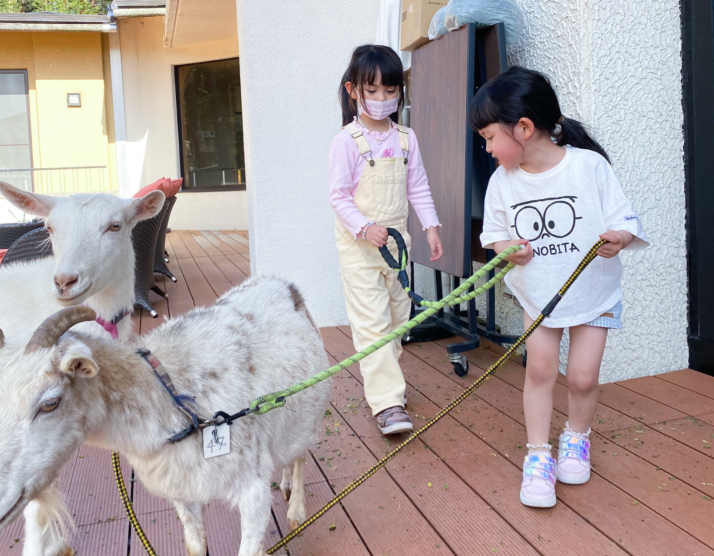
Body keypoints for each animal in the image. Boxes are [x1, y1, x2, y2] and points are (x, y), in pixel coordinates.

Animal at [0, 278, 330, 556]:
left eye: (50, 403)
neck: (174, 400)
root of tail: (284, 284)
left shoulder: (253, 490)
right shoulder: (183, 492)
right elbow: (195, 545)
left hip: (305, 413)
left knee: (301, 456)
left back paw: (296, 510)